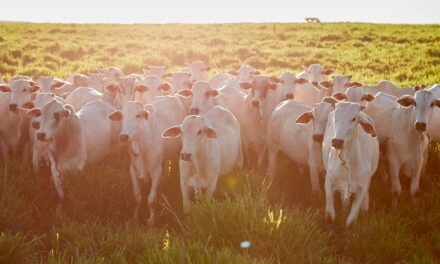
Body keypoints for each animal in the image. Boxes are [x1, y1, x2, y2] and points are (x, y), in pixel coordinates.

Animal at [110, 96, 187, 226]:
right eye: (122, 115)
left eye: (138, 115)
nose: (124, 136)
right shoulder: (133, 170)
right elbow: (136, 198)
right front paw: (135, 220)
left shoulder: (156, 172)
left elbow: (151, 200)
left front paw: (151, 221)